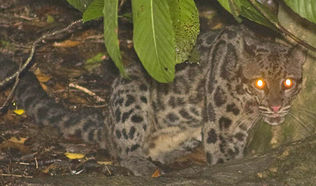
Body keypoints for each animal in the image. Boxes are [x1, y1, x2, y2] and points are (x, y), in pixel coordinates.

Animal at [0, 25, 306, 176]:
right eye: (260, 83)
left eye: (288, 83)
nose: (276, 106)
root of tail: (106, 123)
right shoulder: (219, 129)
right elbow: (222, 159)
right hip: (131, 92)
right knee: (123, 150)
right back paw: (141, 165)